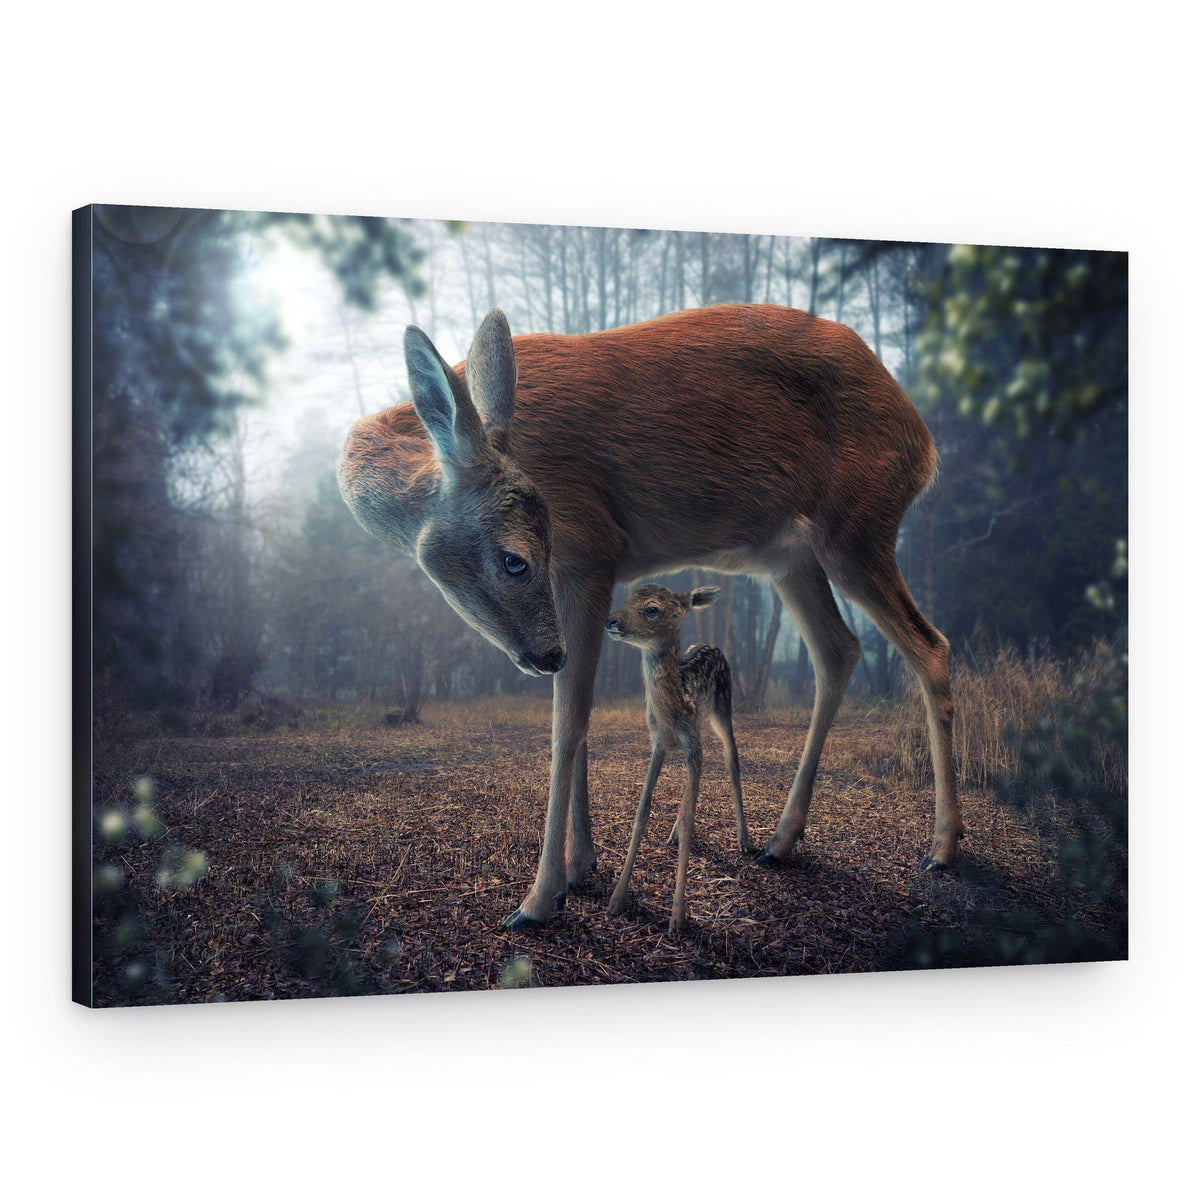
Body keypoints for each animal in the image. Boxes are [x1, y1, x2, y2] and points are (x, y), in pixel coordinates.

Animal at [604, 583, 751, 934]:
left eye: (651, 609)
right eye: (627, 598)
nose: (611, 620)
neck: (671, 711)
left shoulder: (692, 744)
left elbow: (689, 820)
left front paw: (678, 917)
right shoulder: (658, 743)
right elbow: (642, 812)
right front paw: (616, 900)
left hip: (722, 709)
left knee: (731, 758)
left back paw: (744, 840)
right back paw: (671, 833)